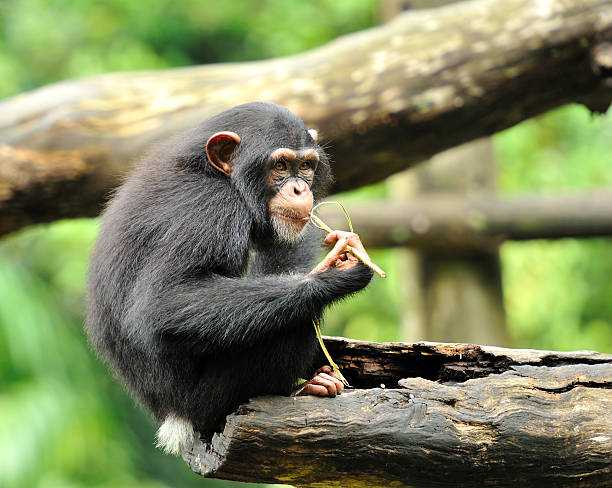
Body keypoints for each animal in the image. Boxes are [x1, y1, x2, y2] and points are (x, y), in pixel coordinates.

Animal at [85, 101, 372, 456]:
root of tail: (173, 419)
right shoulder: (210, 210)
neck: (218, 177)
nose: (299, 188)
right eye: (280, 166)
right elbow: (165, 302)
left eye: (305, 166)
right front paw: (335, 274)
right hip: (208, 402)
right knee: (299, 317)